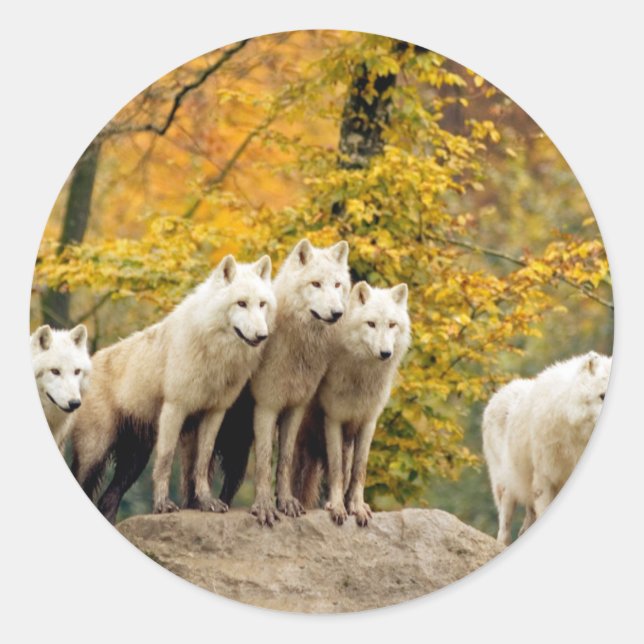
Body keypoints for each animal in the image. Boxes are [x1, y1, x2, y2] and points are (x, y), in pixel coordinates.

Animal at [70, 254, 275, 523]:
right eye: (241, 303)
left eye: (262, 304)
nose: (262, 335)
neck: (215, 352)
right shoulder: (174, 408)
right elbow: (166, 460)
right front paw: (162, 505)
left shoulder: (215, 412)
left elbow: (202, 461)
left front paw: (206, 501)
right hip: (94, 454)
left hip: (135, 460)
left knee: (107, 501)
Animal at [248, 238, 351, 526]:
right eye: (315, 284)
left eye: (337, 285)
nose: (337, 313)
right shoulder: (266, 407)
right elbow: (264, 461)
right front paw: (264, 507)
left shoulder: (295, 408)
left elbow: (282, 460)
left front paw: (286, 503)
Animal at [292, 281, 411, 526]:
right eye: (371, 324)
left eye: (392, 324)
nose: (386, 353)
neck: (362, 377)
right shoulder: (333, 419)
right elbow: (336, 471)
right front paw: (337, 507)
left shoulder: (368, 422)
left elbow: (359, 471)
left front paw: (357, 507)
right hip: (303, 443)